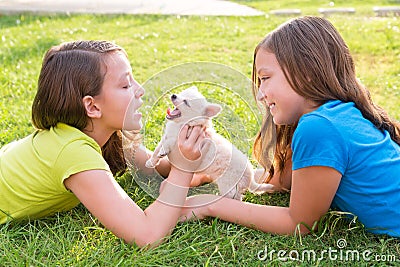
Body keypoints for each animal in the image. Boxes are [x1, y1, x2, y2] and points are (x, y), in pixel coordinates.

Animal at [145, 86, 274, 201]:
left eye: (186, 102)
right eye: (181, 93)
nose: (173, 95)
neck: (181, 124)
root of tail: (249, 174)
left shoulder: (181, 139)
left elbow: (168, 143)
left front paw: (163, 151)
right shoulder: (166, 136)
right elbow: (157, 149)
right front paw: (151, 161)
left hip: (228, 185)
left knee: (236, 198)